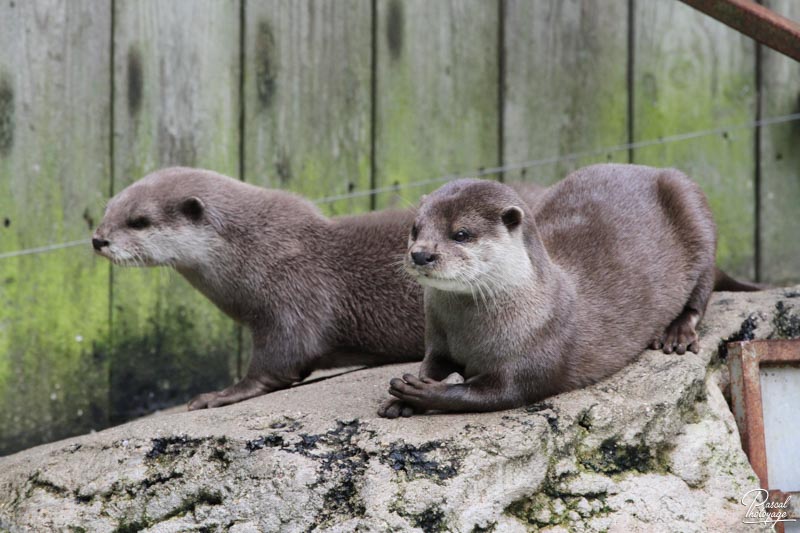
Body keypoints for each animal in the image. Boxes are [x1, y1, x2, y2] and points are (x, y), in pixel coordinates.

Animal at [94, 168, 424, 410]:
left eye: (139, 221)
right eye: (107, 210)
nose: (98, 239)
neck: (259, 250)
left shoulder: (295, 292)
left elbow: (282, 357)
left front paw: (220, 394)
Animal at [380, 164, 732, 418]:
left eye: (461, 234)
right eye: (415, 229)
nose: (421, 254)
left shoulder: (533, 357)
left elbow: (490, 394)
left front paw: (420, 393)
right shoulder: (439, 338)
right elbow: (432, 364)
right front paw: (400, 401)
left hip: (693, 209)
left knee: (701, 294)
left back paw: (676, 333)